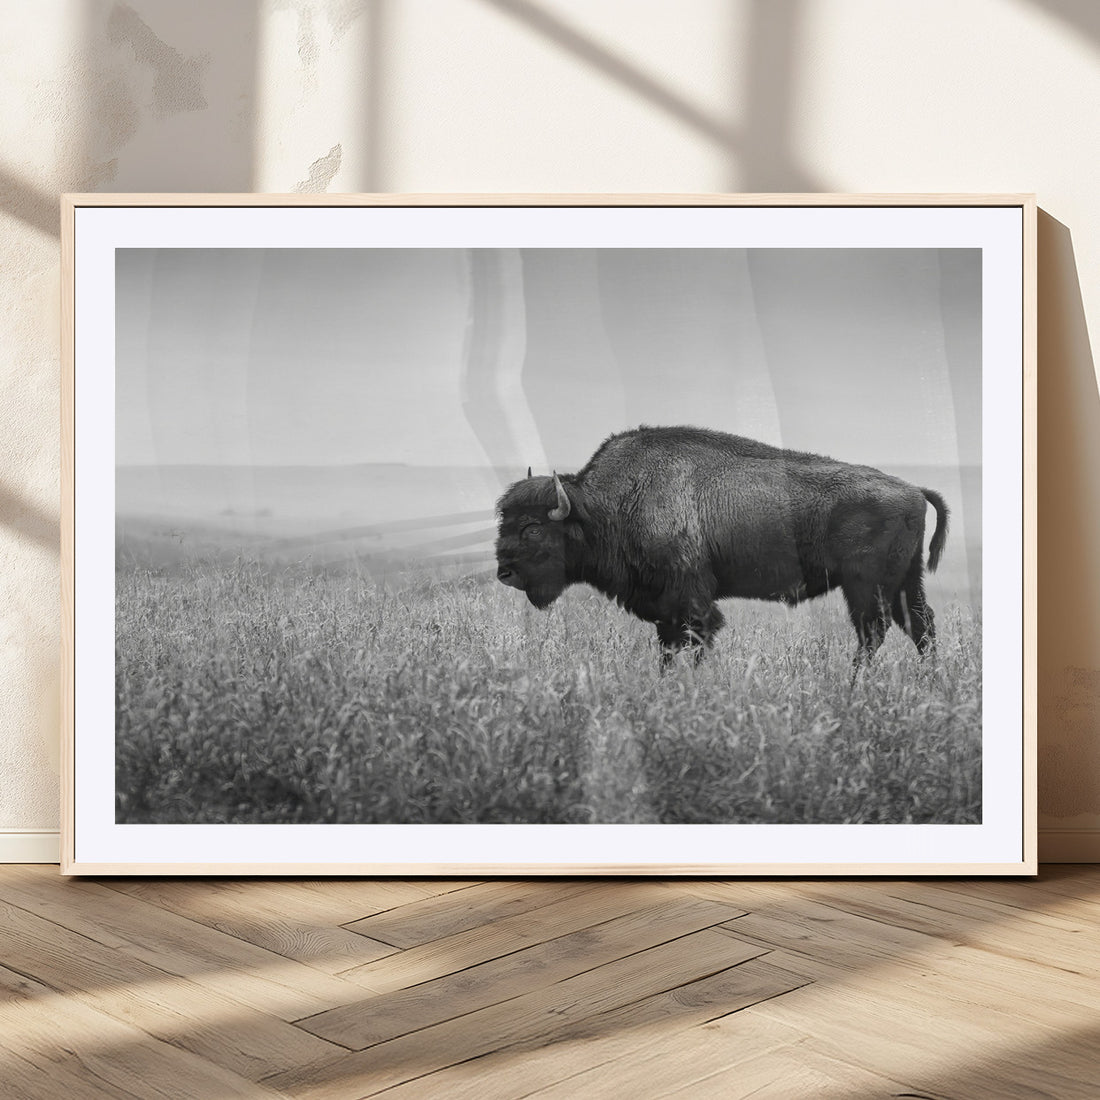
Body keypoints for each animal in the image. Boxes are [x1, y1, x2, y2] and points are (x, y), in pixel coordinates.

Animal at [495, 426, 949, 665]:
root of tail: (913, 489)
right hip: (905, 582)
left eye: (533, 528)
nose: (504, 572)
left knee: (873, 633)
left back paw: (855, 686)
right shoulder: (665, 609)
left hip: (866, 586)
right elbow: (668, 648)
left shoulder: (691, 602)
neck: (607, 505)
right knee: (920, 627)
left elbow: (695, 641)